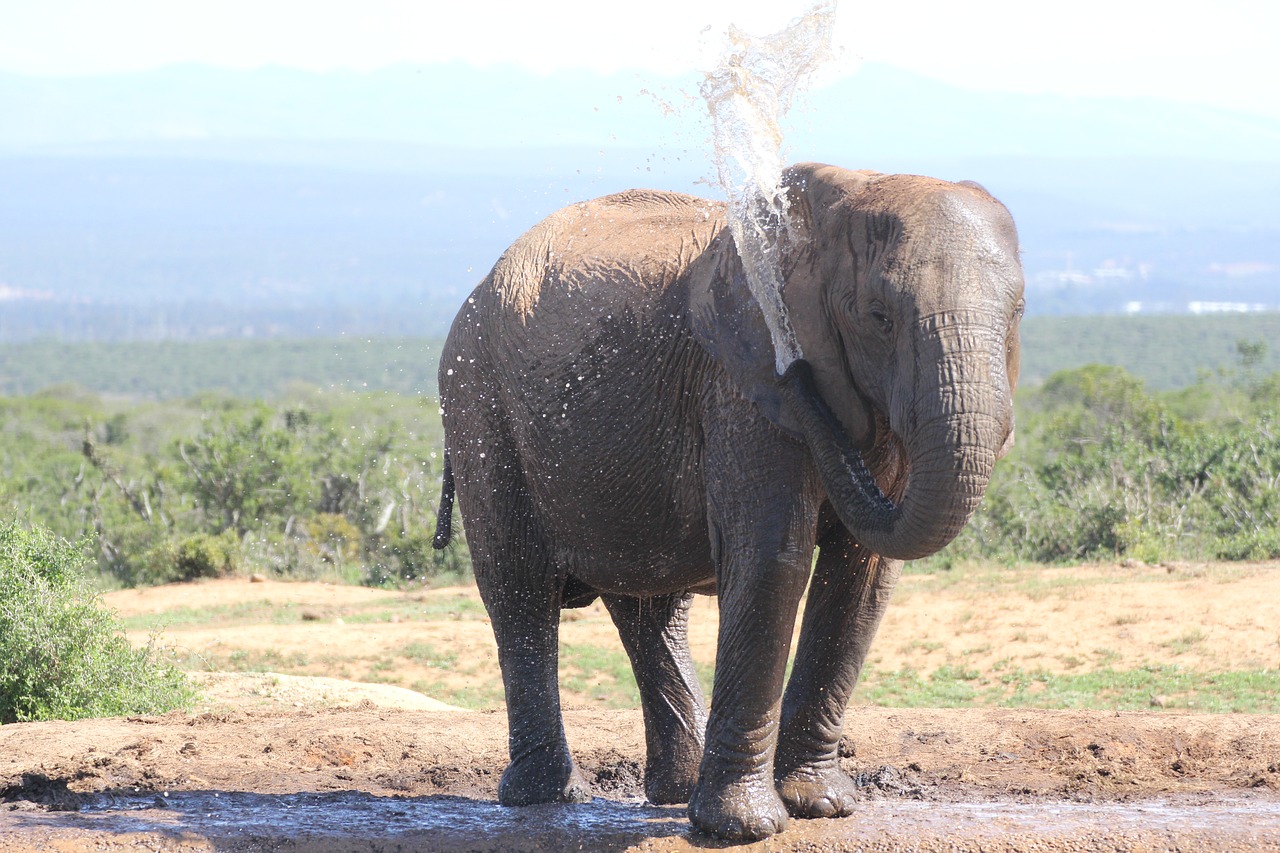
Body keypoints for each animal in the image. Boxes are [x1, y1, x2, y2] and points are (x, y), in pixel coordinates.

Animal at [435, 161, 1024, 835]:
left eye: (1017, 314)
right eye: (878, 316)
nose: (798, 373)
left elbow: (862, 579)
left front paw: (821, 806)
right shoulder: (739, 386)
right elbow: (773, 561)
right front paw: (744, 829)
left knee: (650, 608)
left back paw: (672, 790)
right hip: (478, 403)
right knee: (519, 586)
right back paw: (547, 797)